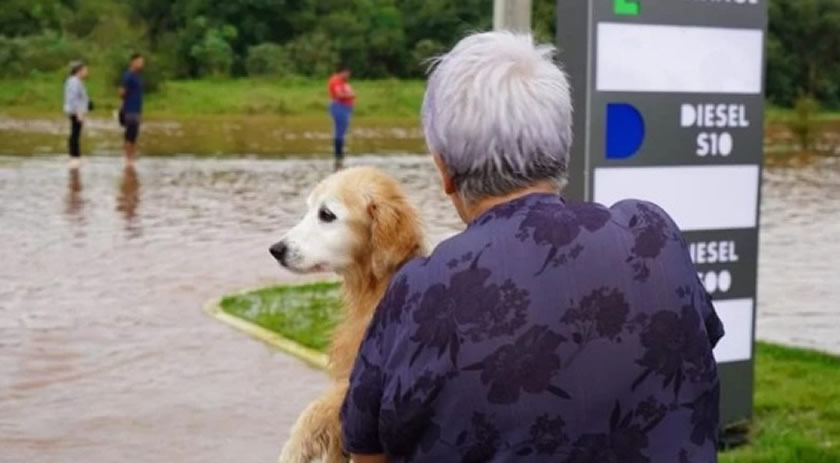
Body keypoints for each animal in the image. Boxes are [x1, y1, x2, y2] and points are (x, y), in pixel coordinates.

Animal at [270, 167, 426, 463]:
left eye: (326, 214)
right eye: (308, 209)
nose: (276, 249)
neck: (375, 289)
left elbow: (318, 410)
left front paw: (293, 449)